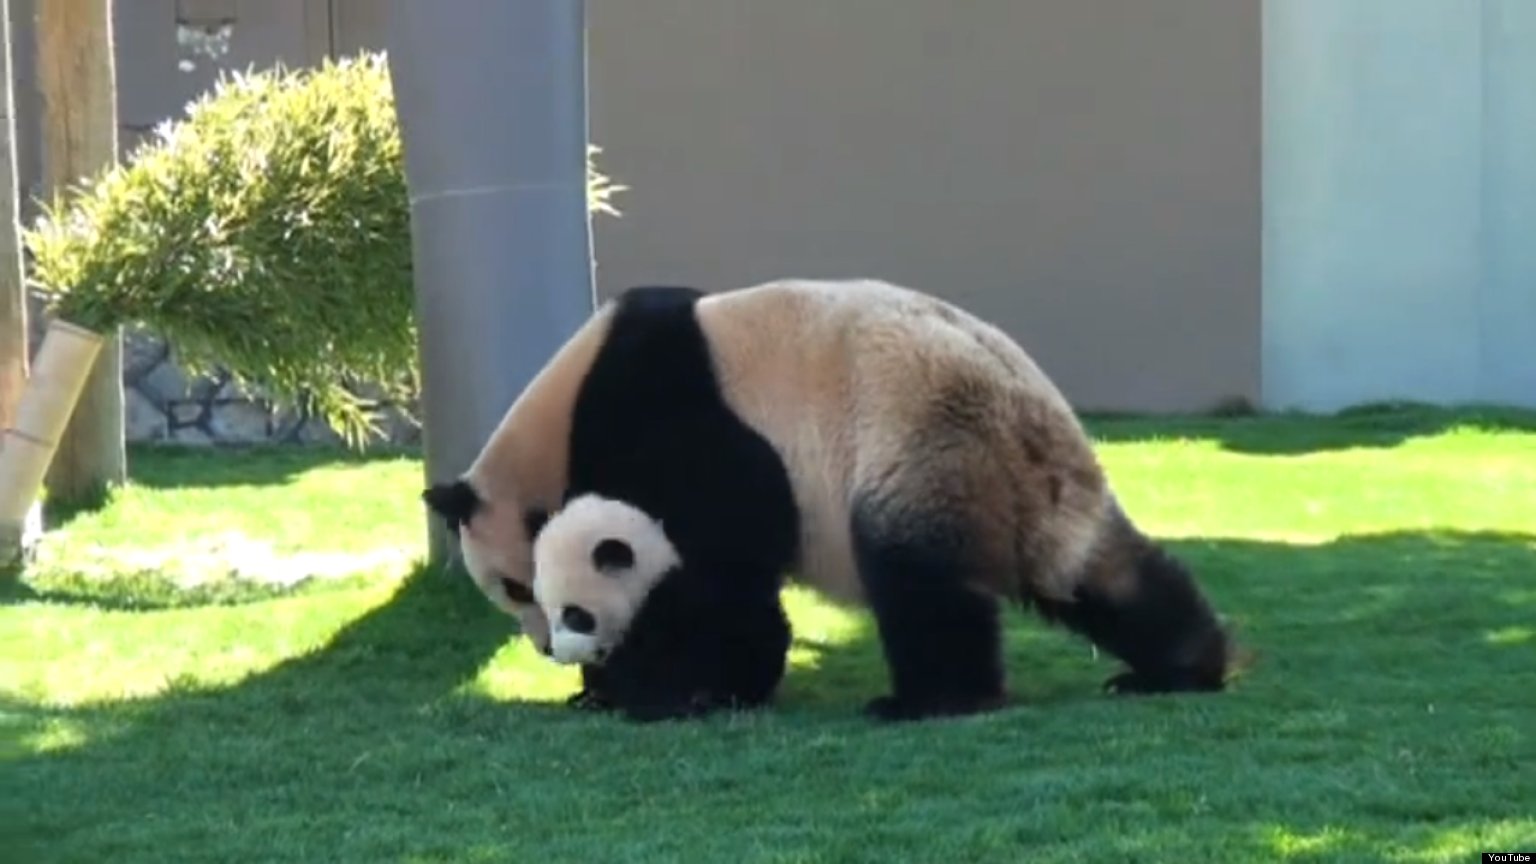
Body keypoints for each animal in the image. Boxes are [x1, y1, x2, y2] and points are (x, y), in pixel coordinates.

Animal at [427, 276, 1241, 719]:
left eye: (516, 589)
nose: (544, 648)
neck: (557, 424)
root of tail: (1026, 421)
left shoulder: (682, 415)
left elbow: (718, 566)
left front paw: (666, 686)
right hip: (1041, 488)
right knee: (1102, 576)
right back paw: (1181, 666)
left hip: (918, 446)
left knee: (918, 582)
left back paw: (929, 700)